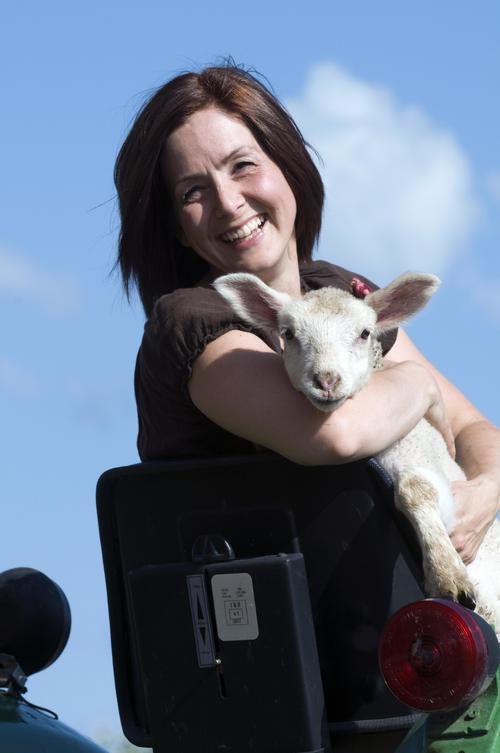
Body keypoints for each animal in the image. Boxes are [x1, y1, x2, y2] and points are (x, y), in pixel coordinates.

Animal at [215, 272, 500, 636]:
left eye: (365, 333)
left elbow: (415, 488)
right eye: (288, 333)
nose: (326, 380)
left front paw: (448, 577)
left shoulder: (423, 458)